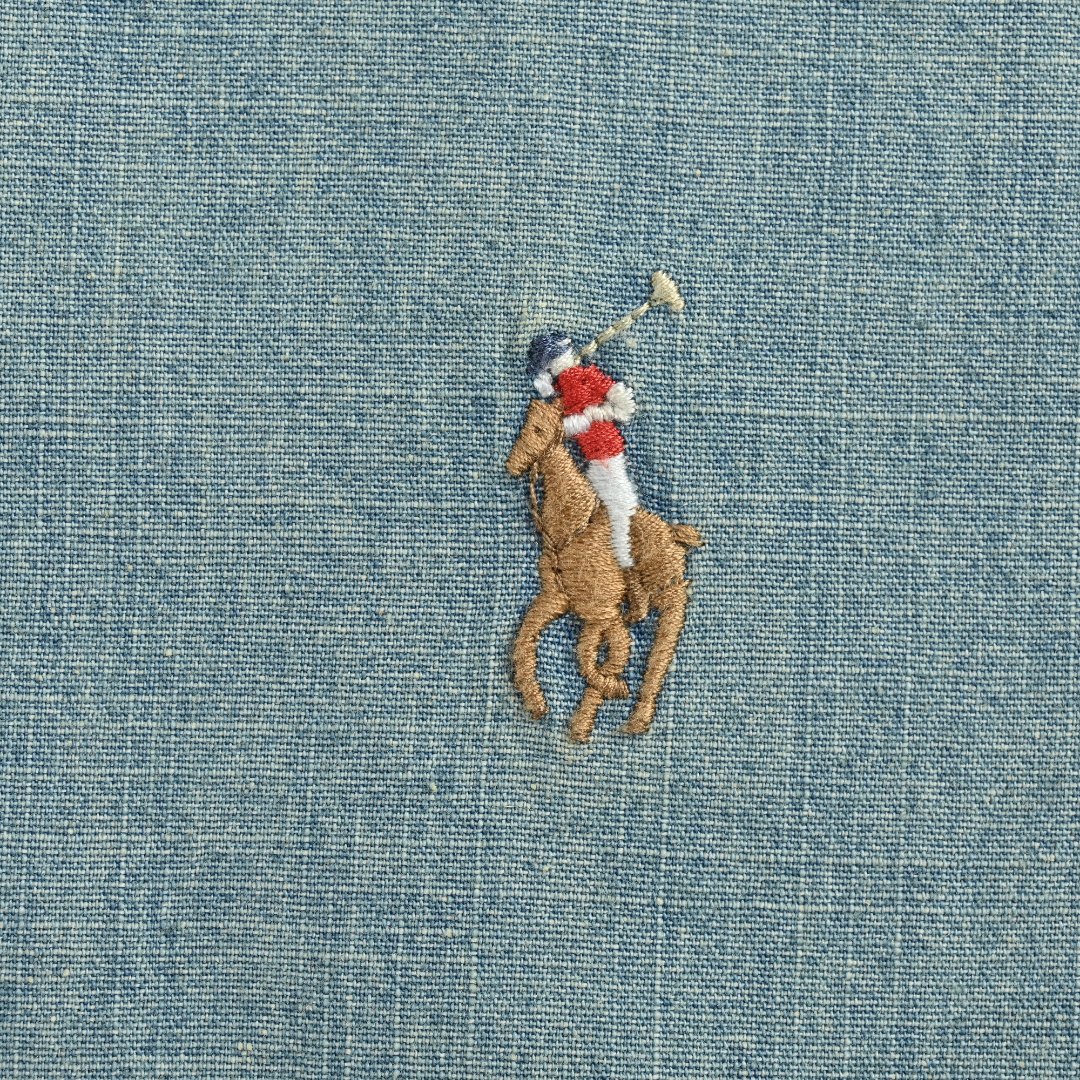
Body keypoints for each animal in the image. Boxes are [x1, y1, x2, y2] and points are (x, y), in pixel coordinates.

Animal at [505, 396, 703, 742]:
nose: (512, 466)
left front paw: (612, 688)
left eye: (539, 429)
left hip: (669, 596)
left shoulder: (602, 609)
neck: (572, 527)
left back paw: (633, 720)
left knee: (657, 656)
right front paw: (537, 703)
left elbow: (598, 655)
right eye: (526, 425)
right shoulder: (559, 598)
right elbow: (528, 633)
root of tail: (674, 534)